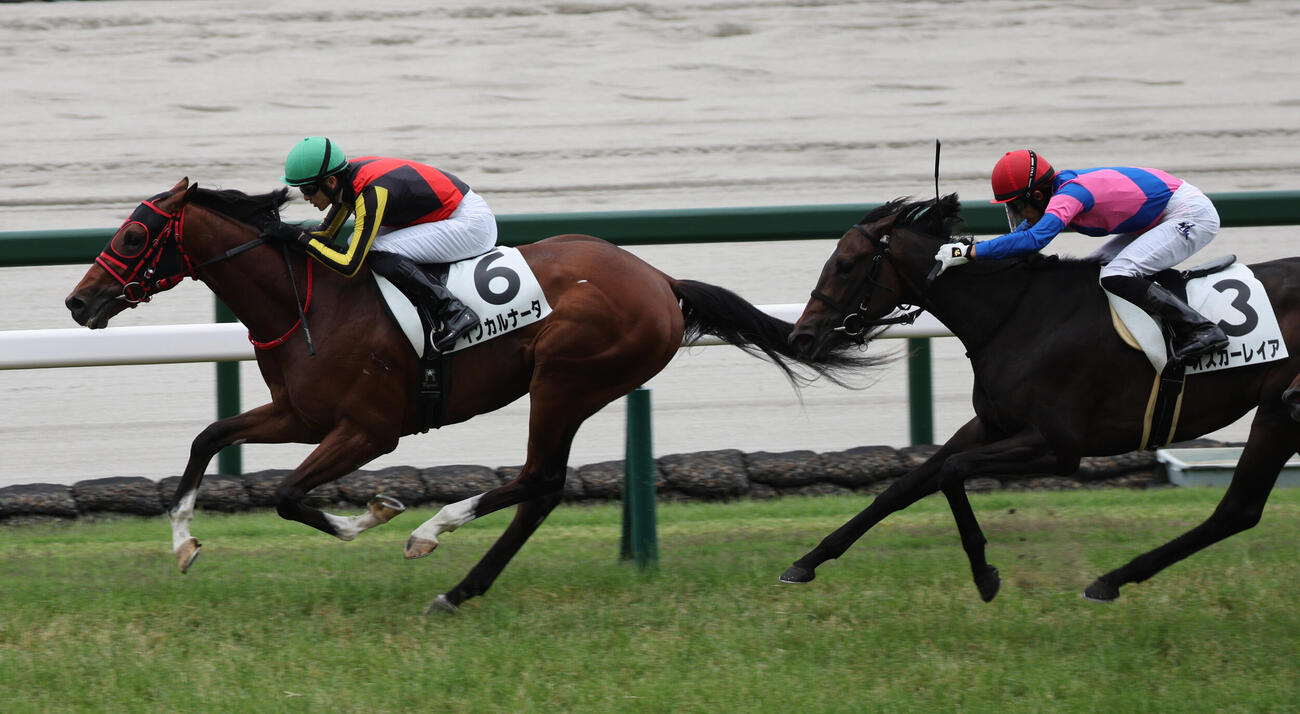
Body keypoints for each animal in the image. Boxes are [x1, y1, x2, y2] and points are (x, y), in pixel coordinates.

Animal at [65, 178, 874, 613]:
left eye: (133, 236)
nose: (78, 302)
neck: (311, 300)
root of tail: (660, 280)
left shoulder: (369, 429)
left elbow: (291, 496)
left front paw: (380, 513)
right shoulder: (300, 414)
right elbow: (207, 439)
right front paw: (183, 544)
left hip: (565, 378)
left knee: (538, 479)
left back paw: (438, 536)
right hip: (573, 387)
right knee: (542, 490)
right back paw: (459, 586)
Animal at [782, 194, 1300, 602]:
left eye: (845, 266)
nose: (800, 337)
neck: (1020, 315)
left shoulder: (1058, 446)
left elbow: (951, 472)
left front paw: (984, 575)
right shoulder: (990, 424)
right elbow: (904, 486)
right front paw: (807, 561)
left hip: (1280, 408)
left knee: (1237, 509)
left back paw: (1111, 579)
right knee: (1238, 510)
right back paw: (1114, 579)